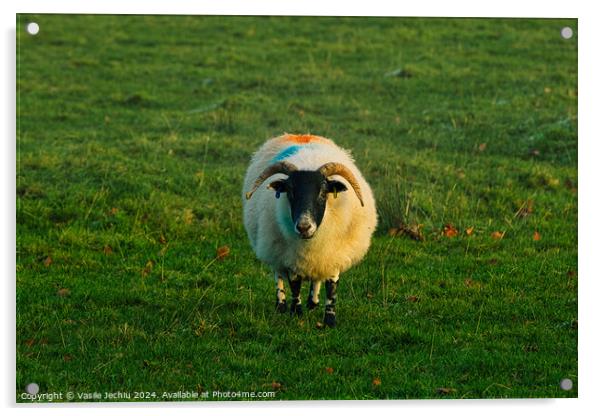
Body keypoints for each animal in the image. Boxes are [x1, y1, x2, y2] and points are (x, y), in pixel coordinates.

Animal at [240, 134, 376, 328]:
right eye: (289, 191)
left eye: (323, 192)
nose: (304, 227)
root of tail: (301, 135)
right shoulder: (291, 257)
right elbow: (295, 285)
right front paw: (296, 312)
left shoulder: (334, 255)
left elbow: (331, 288)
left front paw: (329, 320)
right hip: (273, 247)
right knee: (278, 274)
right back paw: (281, 305)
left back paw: (313, 302)